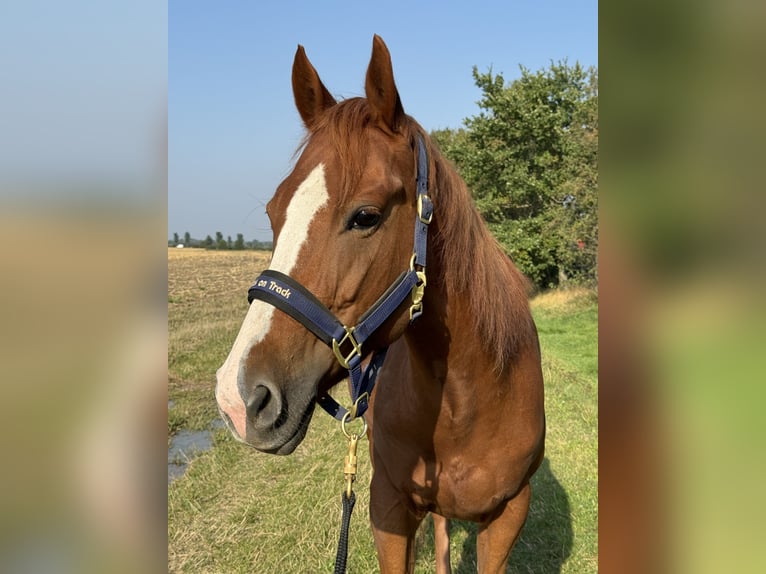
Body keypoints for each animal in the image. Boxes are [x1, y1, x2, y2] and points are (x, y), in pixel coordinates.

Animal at [215, 35, 545, 574]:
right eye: (273, 212)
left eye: (366, 216)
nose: (237, 398)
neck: (470, 397)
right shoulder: (386, 507)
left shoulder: (509, 515)